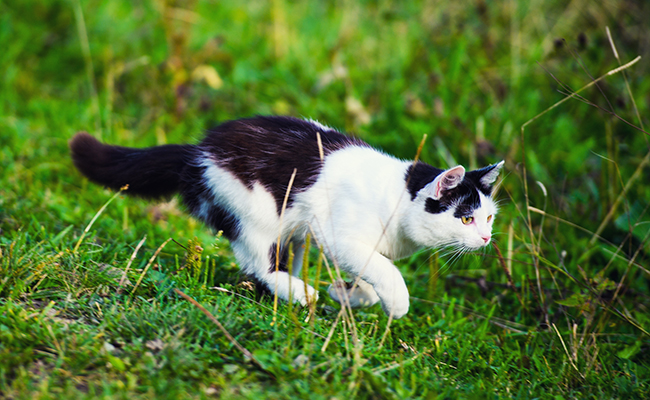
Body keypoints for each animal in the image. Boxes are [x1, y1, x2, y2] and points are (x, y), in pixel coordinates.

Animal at [69, 115, 502, 318]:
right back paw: (299, 292)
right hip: (256, 211)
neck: (397, 197)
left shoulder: (355, 244)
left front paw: (349, 294)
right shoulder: (340, 236)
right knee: (258, 263)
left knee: (281, 258)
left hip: (296, 230)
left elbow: (369, 270)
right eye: (466, 219)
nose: (485, 239)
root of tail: (198, 151)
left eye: (488, 219)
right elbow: (385, 269)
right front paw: (396, 303)